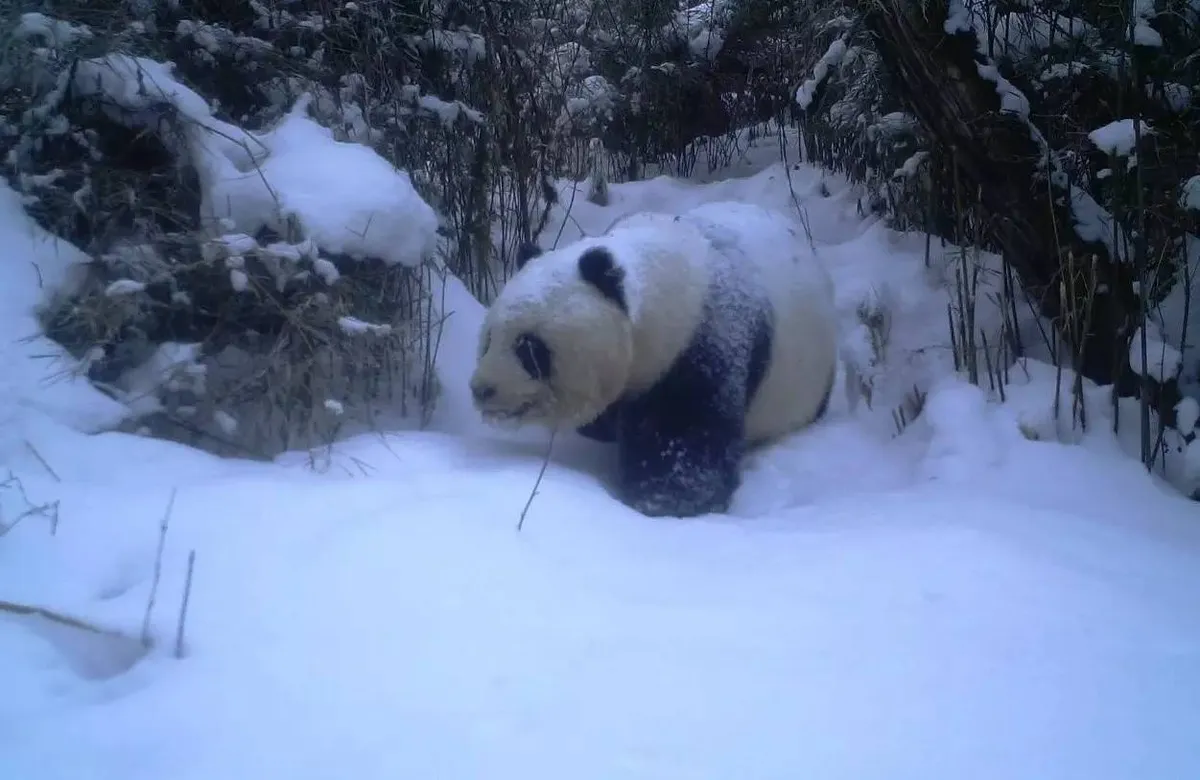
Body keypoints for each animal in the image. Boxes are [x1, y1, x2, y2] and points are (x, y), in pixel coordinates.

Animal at [463, 200, 840, 516]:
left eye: (529, 349)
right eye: (489, 340)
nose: (483, 389)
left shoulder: (706, 339)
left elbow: (685, 434)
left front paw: (664, 498)